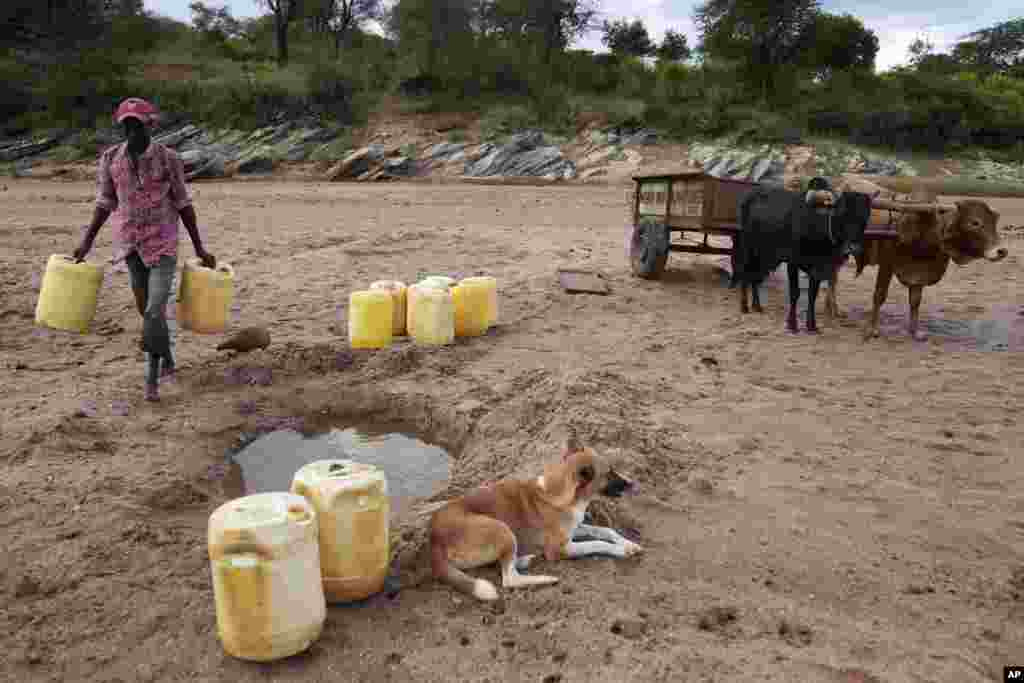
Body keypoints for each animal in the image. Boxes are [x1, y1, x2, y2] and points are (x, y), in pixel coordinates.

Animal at [430, 438, 638, 602]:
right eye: (609, 473)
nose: (633, 483)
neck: (562, 494)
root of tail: (434, 539)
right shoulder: (559, 549)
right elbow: (596, 543)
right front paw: (622, 550)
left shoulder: (575, 528)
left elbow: (604, 530)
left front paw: (629, 543)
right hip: (502, 529)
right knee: (509, 579)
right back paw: (545, 578)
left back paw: (523, 560)